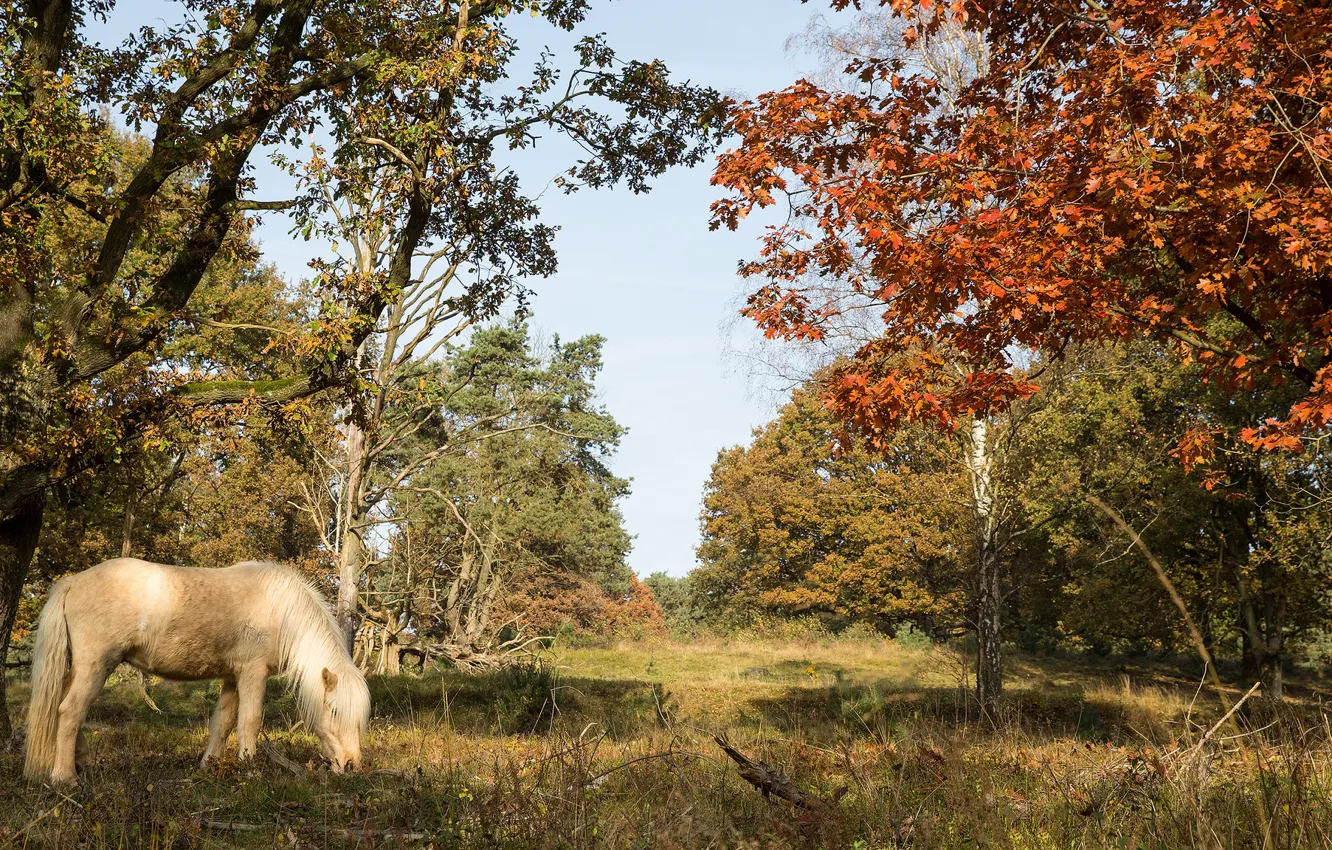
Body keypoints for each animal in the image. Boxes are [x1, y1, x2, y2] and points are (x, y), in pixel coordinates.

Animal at [20, 559, 372, 788]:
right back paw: (65, 778)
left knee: (66, 708)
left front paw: (210, 767)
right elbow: (249, 722)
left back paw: (76, 765)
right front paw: (250, 772)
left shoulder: (232, 676)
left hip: (79, 668)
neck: (280, 609)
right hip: (96, 665)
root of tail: (72, 582)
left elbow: (223, 722)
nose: (352, 765)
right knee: (70, 711)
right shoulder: (253, 673)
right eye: (335, 711)